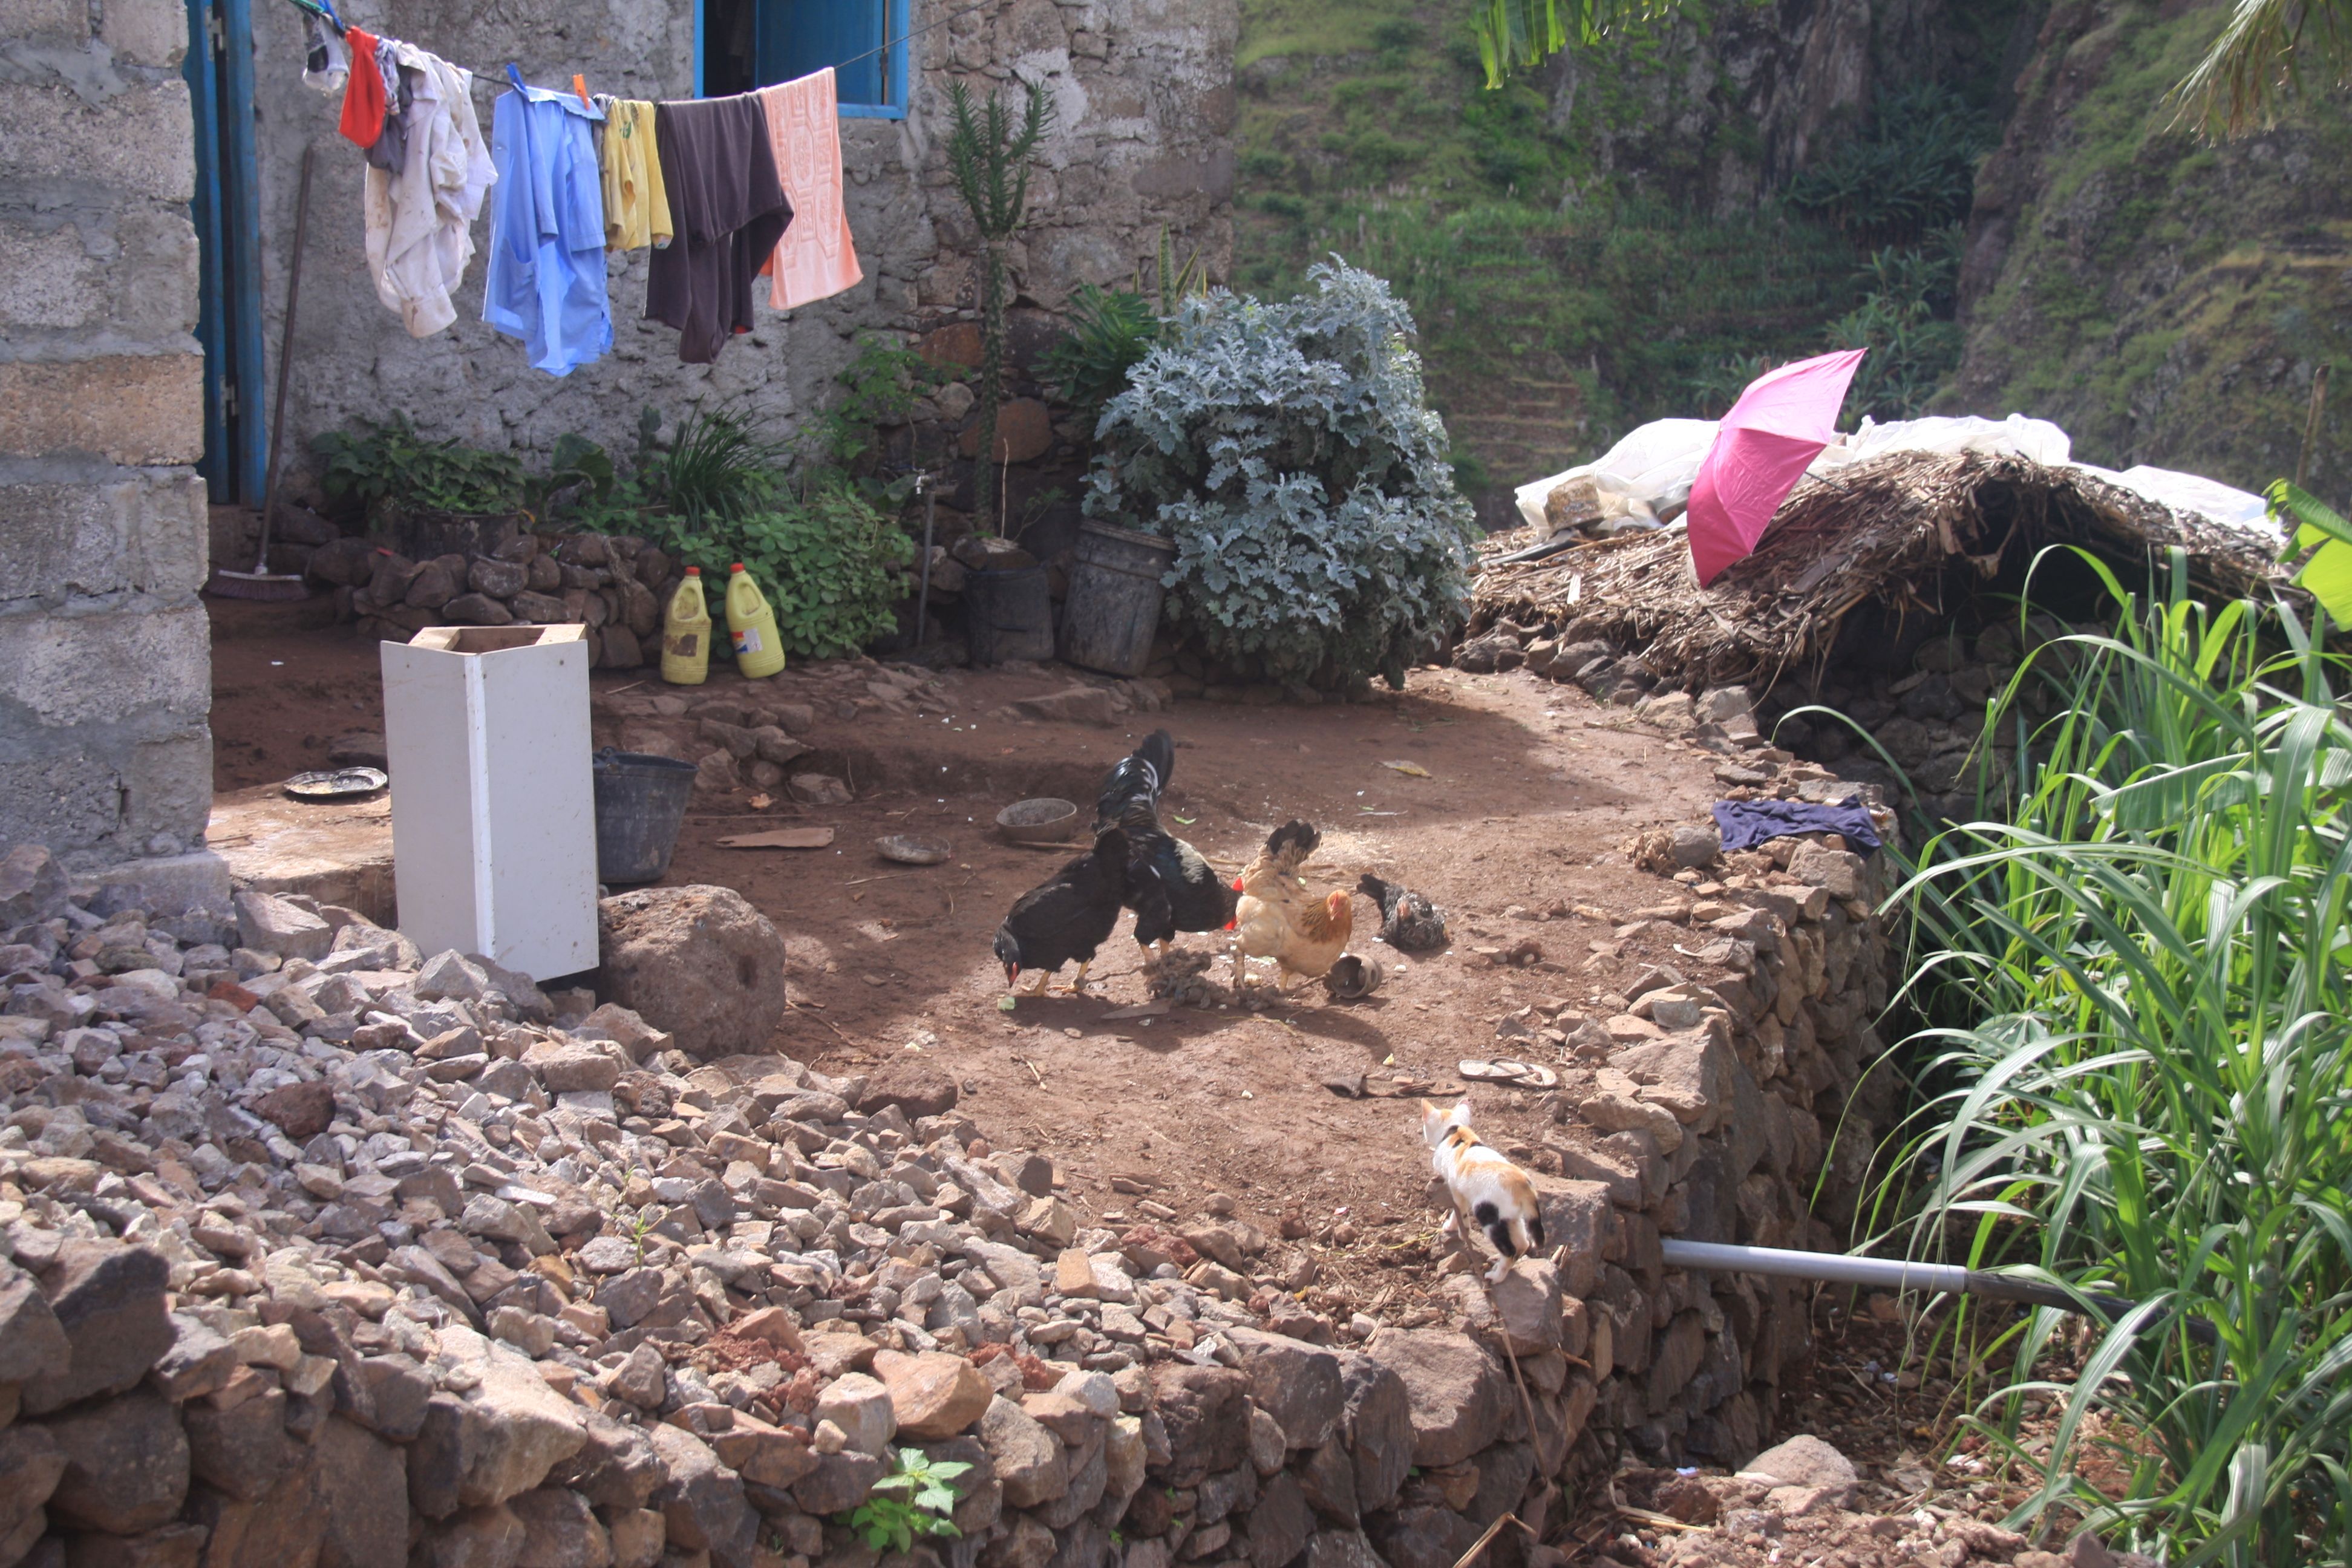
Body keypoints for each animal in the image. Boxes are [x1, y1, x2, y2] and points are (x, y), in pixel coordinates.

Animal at [1421, 1099, 1545, 1283]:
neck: (1454, 1131)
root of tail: (1523, 1184)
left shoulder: (1456, 1189)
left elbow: (1460, 1214)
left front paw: (1456, 1230)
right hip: (1512, 1218)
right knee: (1523, 1244)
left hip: (1489, 1215)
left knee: (1509, 1250)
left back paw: (1495, 1277)